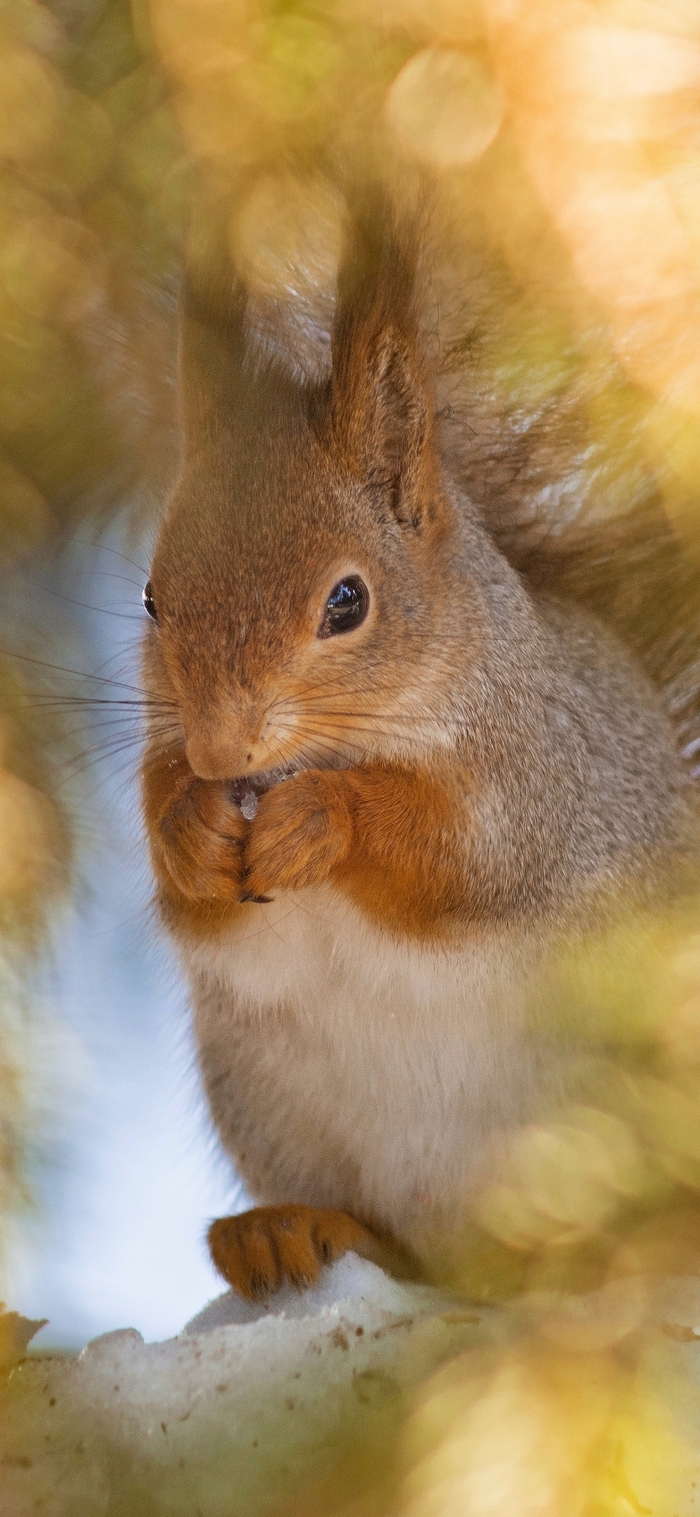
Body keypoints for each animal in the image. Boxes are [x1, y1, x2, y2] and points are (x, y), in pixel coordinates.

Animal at [140, 189, 698, 1298]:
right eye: (149, 599)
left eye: (347, 601)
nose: (220, 752)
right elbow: (185, 891)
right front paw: (188, 825)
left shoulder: (541, 781)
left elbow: (450, 858)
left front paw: (323, 818)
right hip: (272, 1102)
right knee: (388, 1238)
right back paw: (288, 1230)